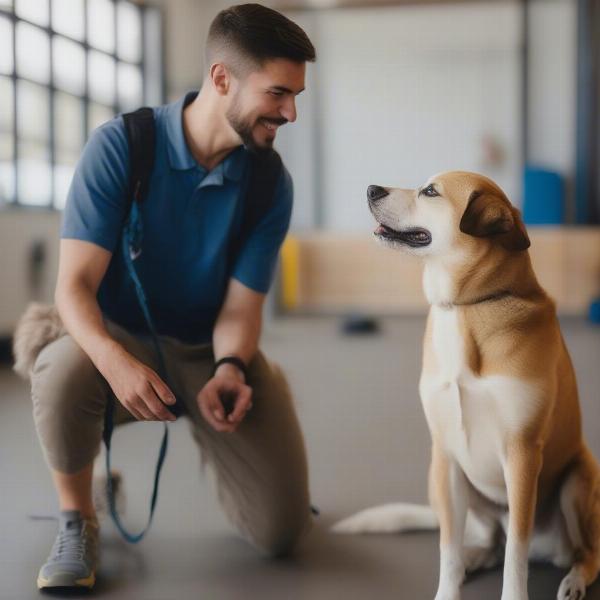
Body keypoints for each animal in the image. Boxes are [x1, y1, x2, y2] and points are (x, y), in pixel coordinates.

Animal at [332, 170, 600, 600]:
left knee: (585, 554)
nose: (371, 189)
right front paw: (450, 585)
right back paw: (474, 559)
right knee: (488, 543)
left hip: (577, 481)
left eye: (430, 191)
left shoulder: (522, 454)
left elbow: (516, 554)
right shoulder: (445, 457)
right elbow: (448, 548)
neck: (467, 308)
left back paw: (574, 579)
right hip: (440, 482)